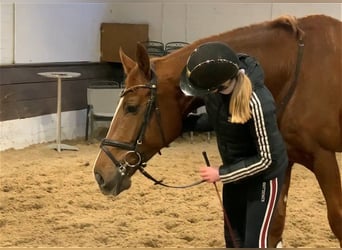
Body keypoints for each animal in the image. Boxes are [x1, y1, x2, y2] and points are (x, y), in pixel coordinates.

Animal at [92, 14, 340, 247]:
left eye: (131, 107)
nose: (100, 174)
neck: (295, 72)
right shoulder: (285, 160)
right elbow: (274, 226)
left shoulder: (323, 157)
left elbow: (336, 219)